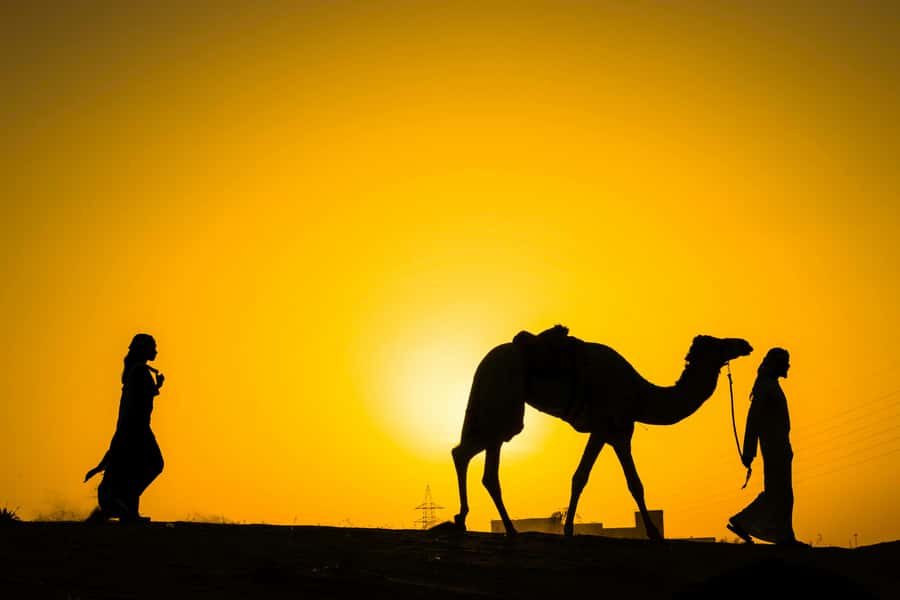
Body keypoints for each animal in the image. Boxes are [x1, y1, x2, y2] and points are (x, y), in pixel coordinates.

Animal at [449, 326, 753, 539]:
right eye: (718, 343)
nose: (744, 344)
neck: (640, 395)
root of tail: (484, 362)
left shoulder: (608, 432)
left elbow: (582, 477)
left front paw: (569, 529)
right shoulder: (613, 429)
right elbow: (628, 482)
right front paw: (653, 533)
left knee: (467, 454)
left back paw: (468, 520)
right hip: (505, 401)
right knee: (481, 458)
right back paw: (503, 528)